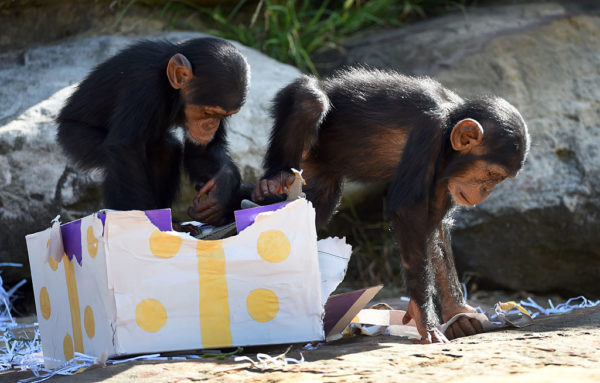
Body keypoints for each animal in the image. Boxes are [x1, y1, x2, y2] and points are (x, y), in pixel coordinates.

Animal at [57, 37, 250, 228]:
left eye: (223, 115)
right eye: (208, 113)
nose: (211, 126)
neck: (170, 89)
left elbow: (201, 150)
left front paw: (223, 188)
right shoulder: (145, 85)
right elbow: (126, 148)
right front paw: (144, 222)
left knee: (165, 150)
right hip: (75, 136)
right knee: (117, 164)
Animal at [253, 68, 528, 344]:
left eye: (500, 179)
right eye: (491, 174)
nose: (485, 191)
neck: (449, 125)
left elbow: (434, 227)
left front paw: (458, 313)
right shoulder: (428, 133)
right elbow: (410, 212)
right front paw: (424, 317)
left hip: (315, 172)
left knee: (317, 208)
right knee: (310, 100)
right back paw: (276, 178)